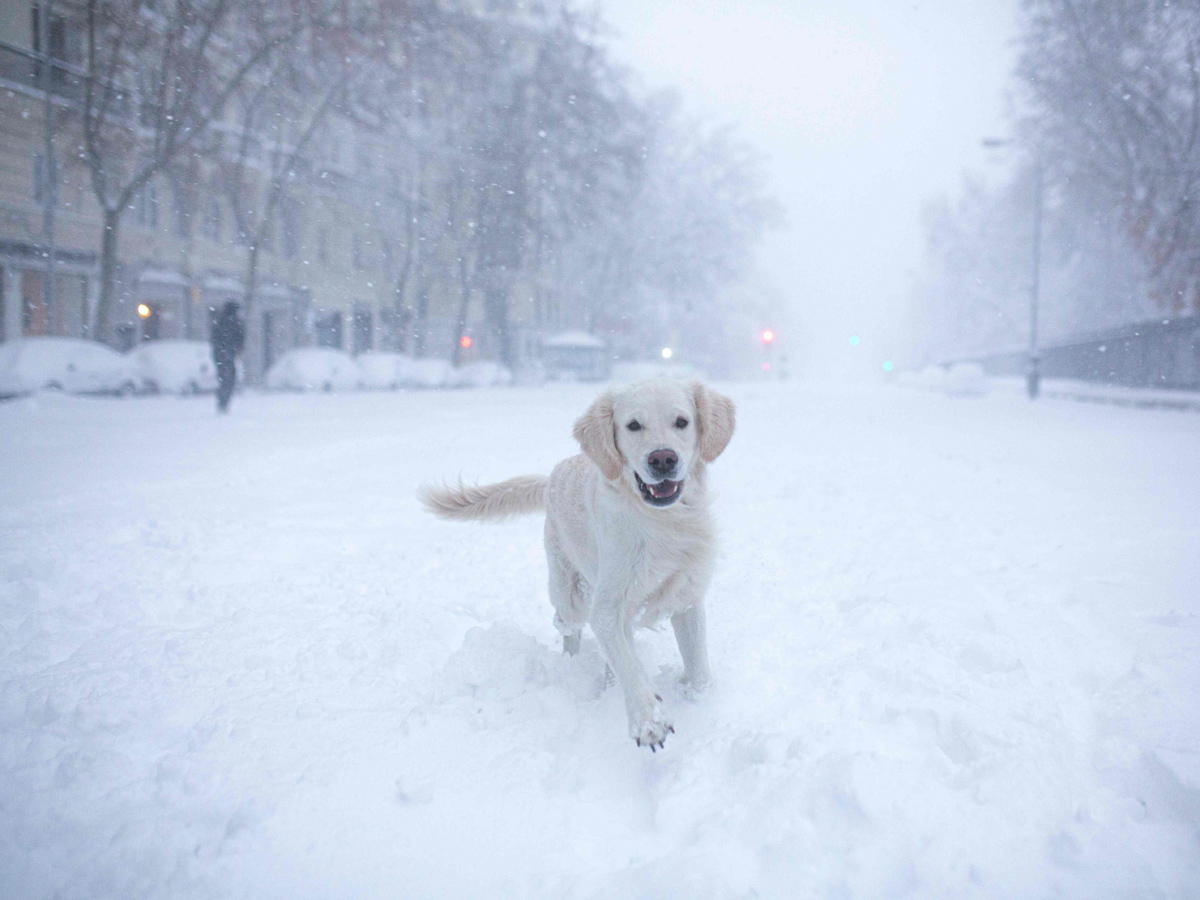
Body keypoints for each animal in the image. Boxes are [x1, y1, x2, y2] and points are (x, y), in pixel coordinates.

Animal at [422, 381, 739, 753]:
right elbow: (628, 663)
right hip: (569, 591)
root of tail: (552, 476)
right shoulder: (607, 606)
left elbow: (699, 669)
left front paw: (692, 697)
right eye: (633, 425)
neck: (660, 522)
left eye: (682, 421)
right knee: (568, 627)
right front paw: (649, 721)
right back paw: (570, 665)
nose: (662, 459)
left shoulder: (685, 595)